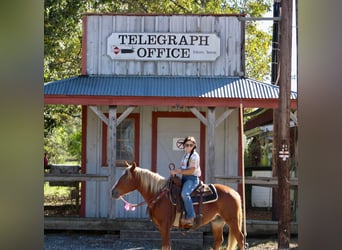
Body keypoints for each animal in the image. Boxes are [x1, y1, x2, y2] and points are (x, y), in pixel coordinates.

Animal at [111, 162, 244, 250]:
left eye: (125, 178)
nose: (113, 192)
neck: (159, 195)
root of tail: (234, 192)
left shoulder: (165, 226)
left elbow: (165, 246)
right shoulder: (163, 228)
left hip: (232, 220)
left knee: (240, 238)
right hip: (217, 221)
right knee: (218, 241)